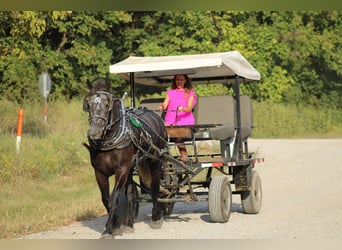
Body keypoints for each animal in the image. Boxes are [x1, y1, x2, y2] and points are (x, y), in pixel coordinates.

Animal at [83, 78, 168, 238]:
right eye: (88, 105)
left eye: (107, 105)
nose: (94, 132)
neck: (109, 141)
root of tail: (155, 115)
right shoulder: (99, 172)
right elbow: (107, 199)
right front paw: (116, 226)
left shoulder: (121, 169)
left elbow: (115, 197)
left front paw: (108, 230)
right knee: (129, 192)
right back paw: (129, 224)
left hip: (154, 160)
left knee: (155, 187)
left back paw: (156, 217)